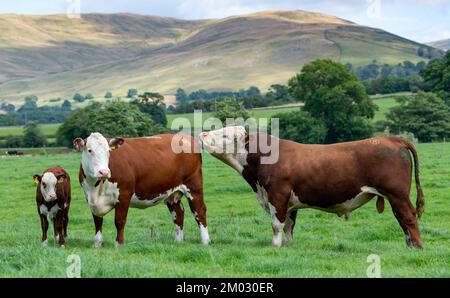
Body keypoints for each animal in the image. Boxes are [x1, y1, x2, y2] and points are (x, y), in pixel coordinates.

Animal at [73, 133, 209, 247]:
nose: (104, 172)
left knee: (199, 211)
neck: (96, 188)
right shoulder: (90, 198)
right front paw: (97, 244)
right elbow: (97, 222)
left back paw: (205, 241)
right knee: (178, 213)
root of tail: (185, 136)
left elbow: (119, 220)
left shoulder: (124, 195)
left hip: (194, 186)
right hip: (172, 193)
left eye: (108, 151)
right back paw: (178, 241)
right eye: (90, 150)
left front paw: (119, 243)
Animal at [200, 127, 426, 248]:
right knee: (401, 219)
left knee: (408, 217)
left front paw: (275, 245)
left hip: (397, 194)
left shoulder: (277, 195)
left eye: (225, 136)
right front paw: (288, 245)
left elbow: (276, 224)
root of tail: (392, 139)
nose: (202, 134)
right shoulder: (289, 202)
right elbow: (289, 225)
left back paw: (416, 246)